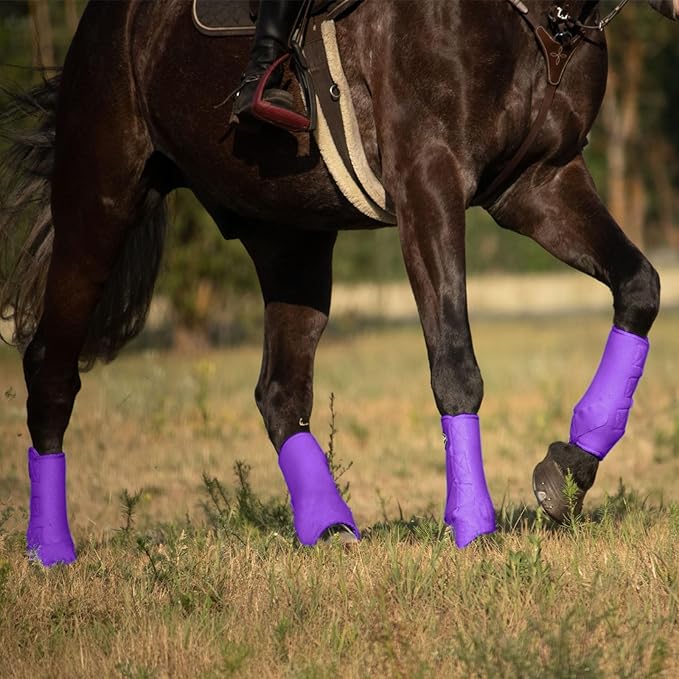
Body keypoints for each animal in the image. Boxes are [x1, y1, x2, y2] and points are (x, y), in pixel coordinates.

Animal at [1, 0, 676, 566]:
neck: (540, 23)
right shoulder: (428, 185)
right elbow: (456, 366)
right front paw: (473, 527)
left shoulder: (539, 184)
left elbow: (639, 288)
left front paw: (569, 469)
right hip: (101, 203)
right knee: (51, 369)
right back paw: (50, 549)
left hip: (289, 237)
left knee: (280, 391)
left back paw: (328, 526)